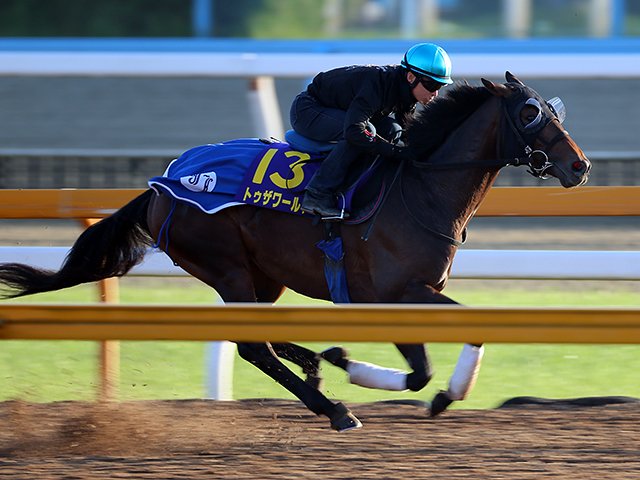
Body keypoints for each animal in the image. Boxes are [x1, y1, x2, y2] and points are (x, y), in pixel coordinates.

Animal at [0, 72, 590, 432]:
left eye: (555, 108)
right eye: (531, 112)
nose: (580, 166)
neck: (421, 186)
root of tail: (159, 185)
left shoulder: (408, 295)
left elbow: (446, 349)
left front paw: (420, 386)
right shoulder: (396, 293)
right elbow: (437, 357)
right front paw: (393, 382)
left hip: (263, 275)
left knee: (259, 337)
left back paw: (319, 363)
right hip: (227, 267)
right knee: (253, 346)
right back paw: (334, 408)